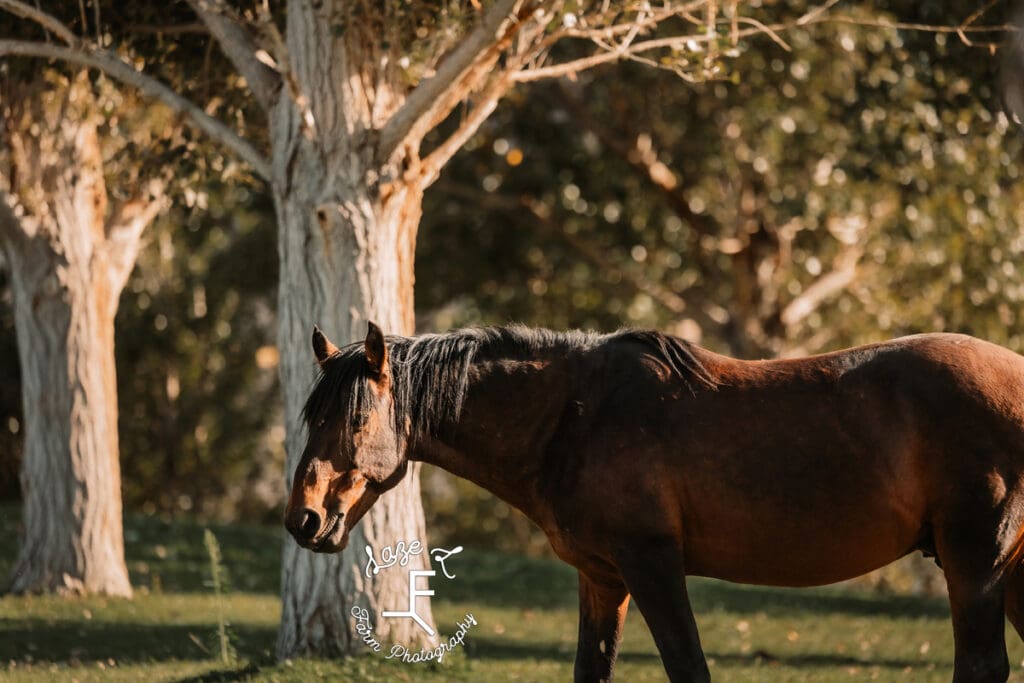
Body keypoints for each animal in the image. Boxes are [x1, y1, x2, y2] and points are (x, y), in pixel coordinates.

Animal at [282, 323, 1024, 679]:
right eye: (310, 415)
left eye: (353, 418)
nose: (304, 519)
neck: (574, 417)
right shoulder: (603, 579)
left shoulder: (653, 566)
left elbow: (688, 666)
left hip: (975, 565)